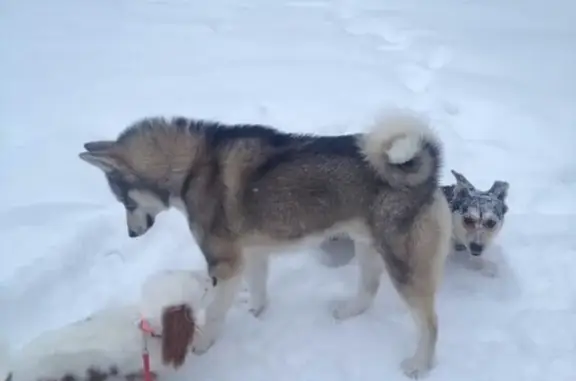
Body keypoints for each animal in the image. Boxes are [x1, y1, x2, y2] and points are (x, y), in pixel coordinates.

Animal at [79, 110, 452, 378]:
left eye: (126, 202)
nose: (132, 234)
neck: (191, 167)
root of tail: (427, 175)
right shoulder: (251, 255)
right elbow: (257, 290)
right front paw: (256, 310)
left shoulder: (225, 264)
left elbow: (214, 311)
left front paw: (202, 345)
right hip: (368, 248)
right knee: (369, 291)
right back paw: (348, 311)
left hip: (403, 267)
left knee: (431, 324)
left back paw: (419, 365)